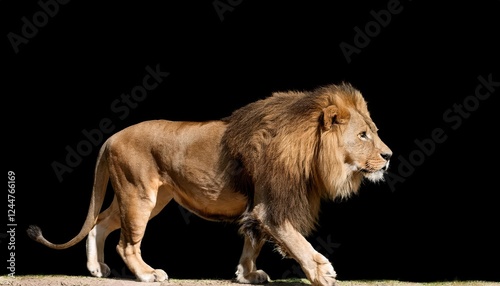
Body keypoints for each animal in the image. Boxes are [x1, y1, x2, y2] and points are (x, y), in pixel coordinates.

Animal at [28, 81, 390, 284]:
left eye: (374, 131)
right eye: (363, 135)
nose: (388, 156)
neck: (309, 148)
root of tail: (110, 138)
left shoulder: (257, 207)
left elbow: (253, 243)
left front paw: (247, 275)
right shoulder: (270, 207)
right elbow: (297, 241)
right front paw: (321, 271)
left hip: (147, 197)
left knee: (99, 223)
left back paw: (97, 268)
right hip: (139, 195)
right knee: (126, 243)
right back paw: (147, 274)